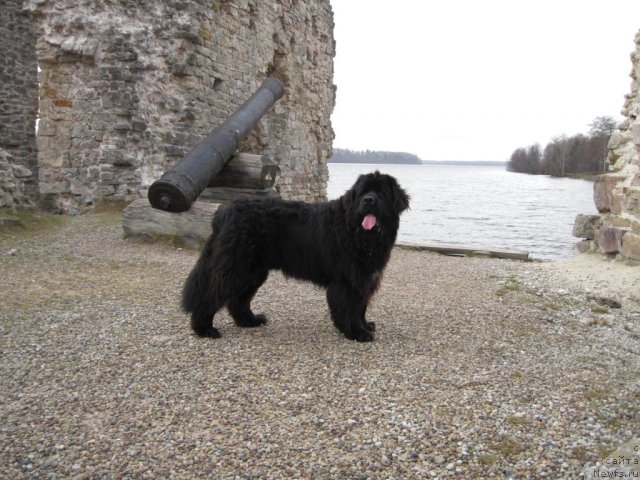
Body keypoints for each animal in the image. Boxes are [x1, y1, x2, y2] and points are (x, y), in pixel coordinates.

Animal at [181, 172, 410, 342]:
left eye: (381, 192)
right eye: (363, 192)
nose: (368, 200)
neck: (358, 232)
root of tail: (226, 211)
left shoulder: (365, 277)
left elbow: (361, 306)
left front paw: (365, 326)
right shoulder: (347, 280)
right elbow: (349, 307)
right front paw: (356, 332)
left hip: (253, 271)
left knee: (238, 300)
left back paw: (250, 320)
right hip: (237, 266)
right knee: (213, 293)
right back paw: (204, 329)